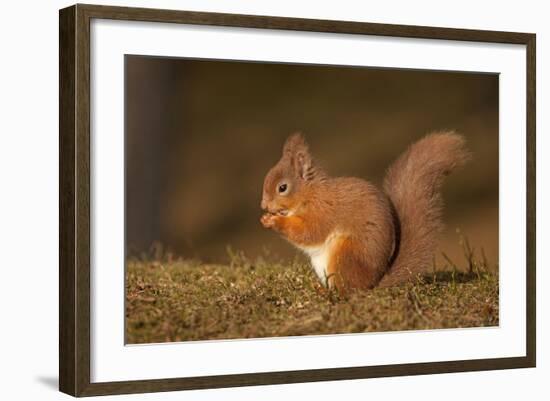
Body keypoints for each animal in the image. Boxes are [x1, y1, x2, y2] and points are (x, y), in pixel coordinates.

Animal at [260, 131, 472, 290]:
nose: (264, 206)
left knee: (348, 291)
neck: (310, 194)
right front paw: (266, 218)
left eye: (282, 188)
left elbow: (309, 233)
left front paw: (273, 221)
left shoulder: (323, 211)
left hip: (345, 254)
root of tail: (373, 283)